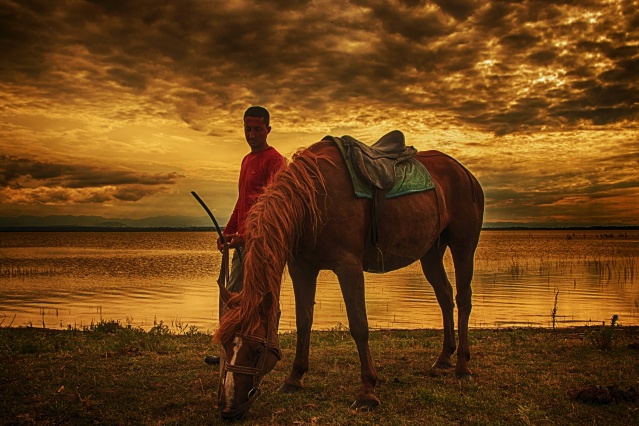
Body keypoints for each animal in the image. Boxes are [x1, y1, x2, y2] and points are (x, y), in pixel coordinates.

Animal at [212, 138, 482, 422]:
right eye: (224, 345)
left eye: (256, 349)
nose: (229, 409)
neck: (312, 200)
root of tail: (464, 172)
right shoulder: (302, 268)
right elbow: (303, 322)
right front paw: (294, 379)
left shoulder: (348, 267)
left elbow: (359, 325)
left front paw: (367, 392)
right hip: (431, 252)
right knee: (444, 296)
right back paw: (444, 357)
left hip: (464, 247)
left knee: (463, 299)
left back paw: (462, 366)